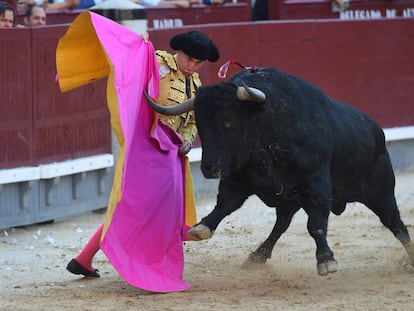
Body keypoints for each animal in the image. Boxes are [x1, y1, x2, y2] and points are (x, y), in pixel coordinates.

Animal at [145, 67, 414, 276]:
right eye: (200, 123)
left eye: (230, 121)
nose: (210, 168)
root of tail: (376, 130)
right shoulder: (238, 179)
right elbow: (224, 205)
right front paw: (202, 227)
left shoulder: (315, 183)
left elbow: (316, 223)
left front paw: (326, 260)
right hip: (289, 198)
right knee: (281, 223)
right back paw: (257, 256)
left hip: (381, 193)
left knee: (396, 224)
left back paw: (410, 260)